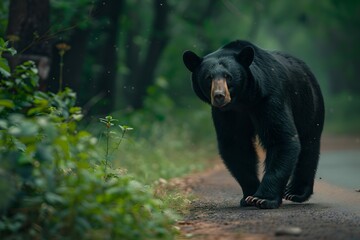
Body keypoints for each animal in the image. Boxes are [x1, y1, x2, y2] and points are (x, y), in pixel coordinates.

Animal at [181, 40, 324, 209]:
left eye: (228, 76)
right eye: (208, 77)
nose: (219, 96)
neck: (244, 99)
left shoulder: (269, 98)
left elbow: (281, 137)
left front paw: (262, 198)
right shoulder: (227, 113)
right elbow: (235, 145)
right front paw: (249, 195)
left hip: (309, 103)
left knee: (309, 143)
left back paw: (295, 192)